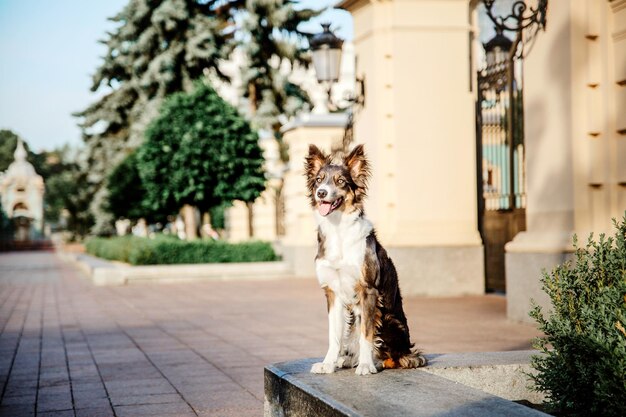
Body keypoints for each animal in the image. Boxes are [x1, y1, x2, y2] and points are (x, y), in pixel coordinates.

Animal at [302, 143, 424, 374]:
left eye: (341, 181)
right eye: (319, 180)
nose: (321, 193)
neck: (338, 229)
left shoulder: (368, 290)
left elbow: (367, 333)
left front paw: (366, 365)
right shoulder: (332, 292)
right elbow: (334, 335)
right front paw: (328, 363)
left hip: (389, 319)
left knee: (397, 357)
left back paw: (375, 361)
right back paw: (347, 360)